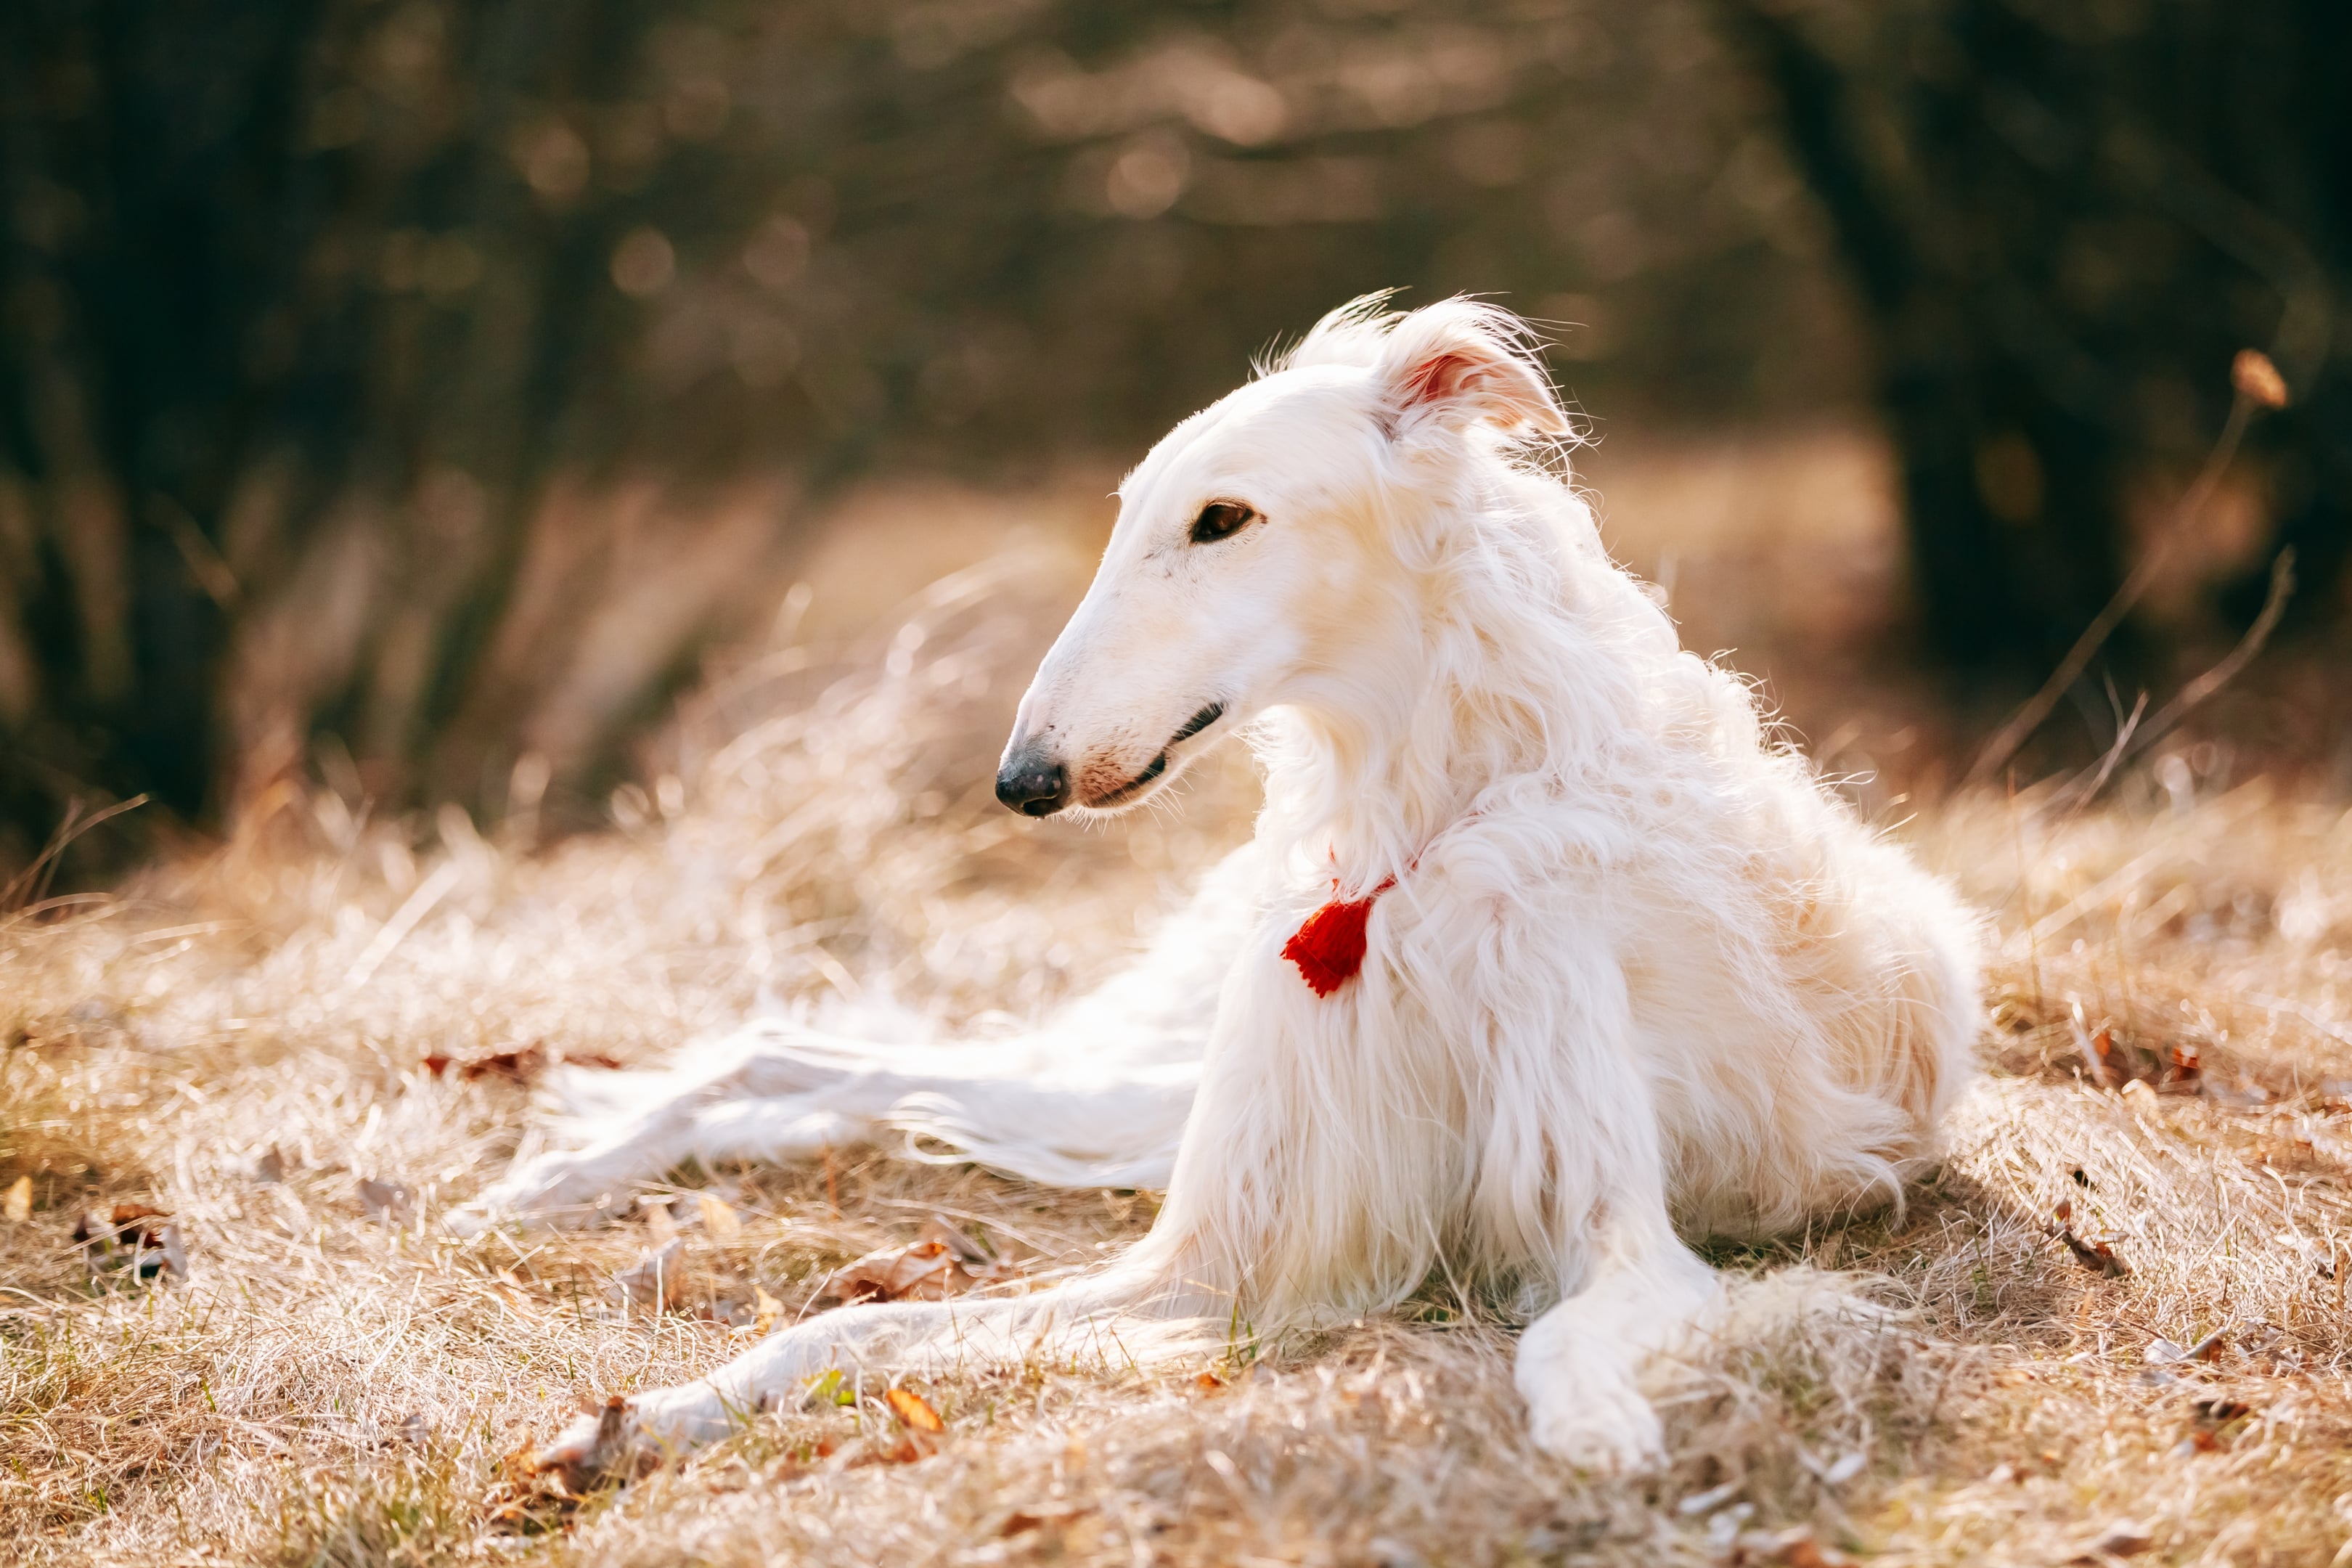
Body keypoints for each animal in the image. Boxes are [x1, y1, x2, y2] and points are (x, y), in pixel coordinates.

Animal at [515, 297, 1985, 1485]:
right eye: (1130, 518)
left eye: (1222, 518)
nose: (1023, 781)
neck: (1418, 837)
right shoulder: (1212, 1253)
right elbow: (853, 1325)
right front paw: (650, 1414)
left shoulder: (1619, 1231)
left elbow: (1564, 1338)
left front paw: (1599, 1430)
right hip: (1165, 1081)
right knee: (812, 1056)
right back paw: (562, 1171)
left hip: (1147, 1098)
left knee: (861, 1083)